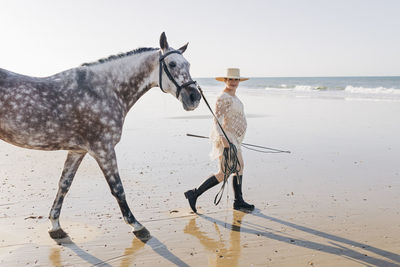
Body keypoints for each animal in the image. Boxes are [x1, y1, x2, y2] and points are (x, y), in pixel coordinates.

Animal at [0, 31, 200, 241]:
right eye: (172, 64)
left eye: (188, 65)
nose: (194, 97)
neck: (104, 90)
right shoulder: (103, 149)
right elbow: (118, 189)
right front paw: (137, 226)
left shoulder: (77, 151)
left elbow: (64, 184)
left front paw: (55, 226)